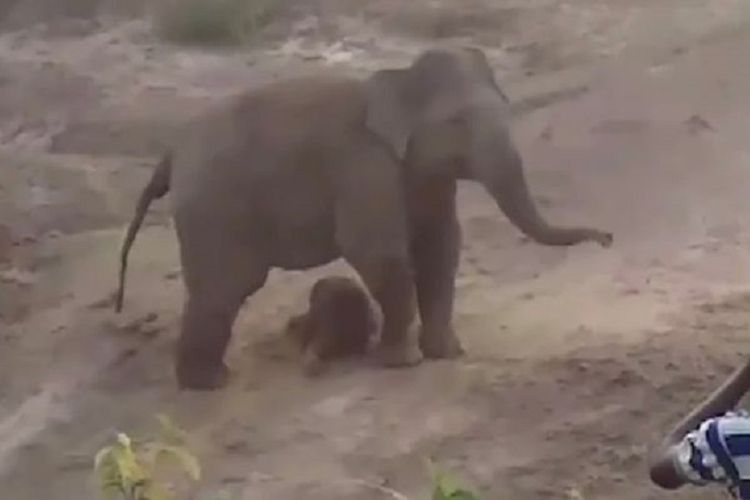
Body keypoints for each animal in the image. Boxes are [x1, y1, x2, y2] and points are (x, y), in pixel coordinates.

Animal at [116, 46, 612, 390]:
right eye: (457, 122)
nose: (608, 237)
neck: (396, 81)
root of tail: (172, 152)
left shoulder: (422, 175)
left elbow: (440, 245)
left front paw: (447, 354)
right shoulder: (365, 166)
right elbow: (377, 251)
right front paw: (402, 363)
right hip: (214, 210)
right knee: (226, 288)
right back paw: (211, 383)